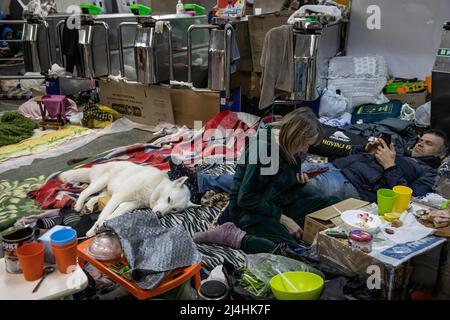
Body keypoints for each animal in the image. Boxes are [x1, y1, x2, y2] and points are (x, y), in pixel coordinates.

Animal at [60, 161, 199, 236]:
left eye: (174, 210)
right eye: (169, 199)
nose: (159, 215)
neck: (154, 187)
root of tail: (96, 166)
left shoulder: (130, 204)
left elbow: (115, 214)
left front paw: (105, 223)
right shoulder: (119, 196)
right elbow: (105, 213)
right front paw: (94, 229)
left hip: (107, 191)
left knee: (95, 198)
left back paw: (88, 207)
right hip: (100, 183)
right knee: (85, 192)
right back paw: (79, 206)